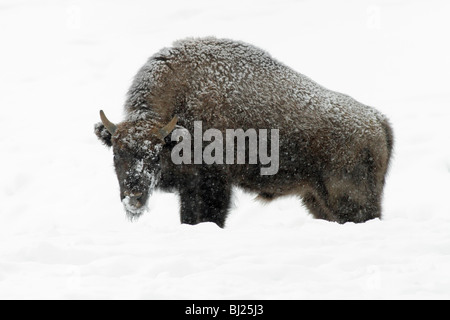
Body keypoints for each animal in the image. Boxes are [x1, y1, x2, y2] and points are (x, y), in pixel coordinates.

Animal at [94, 37, 394, 228]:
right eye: (116, 154)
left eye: (155, 155)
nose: (133, 196)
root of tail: (377, 121)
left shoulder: (211, 185)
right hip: (316, 199)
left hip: (352, 200)